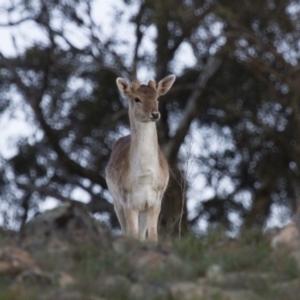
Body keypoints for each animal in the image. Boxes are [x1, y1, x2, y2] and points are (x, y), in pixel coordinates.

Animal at [105, 74, 176, 241]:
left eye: (157, 98)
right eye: (137, 99)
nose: (155, 114)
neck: (145, 178)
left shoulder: (156, 200)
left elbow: (153, 236)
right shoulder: (128, 201)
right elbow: (132, 234)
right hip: (116, 202)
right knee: (125, 231)